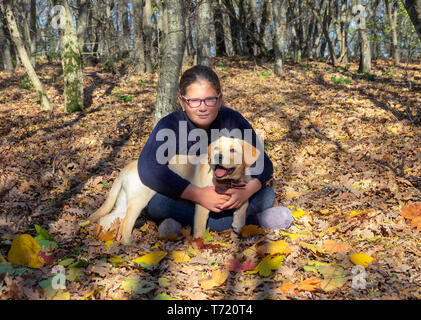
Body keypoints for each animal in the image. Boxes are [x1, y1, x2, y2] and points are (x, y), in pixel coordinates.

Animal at [88, 135, 258, 242]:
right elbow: (200, 227)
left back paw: (103, 235)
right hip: (138, 200)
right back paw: (129, 244)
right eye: (216, 149)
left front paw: (239, 224)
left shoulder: (242, 191)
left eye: (233, 150)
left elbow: (244, 203)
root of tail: (127, 167)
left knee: (107, 218)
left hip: (124, 202)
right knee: (125, 223)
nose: (218, 157)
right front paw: (199, 244)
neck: (226, 182)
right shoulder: (203, 204)